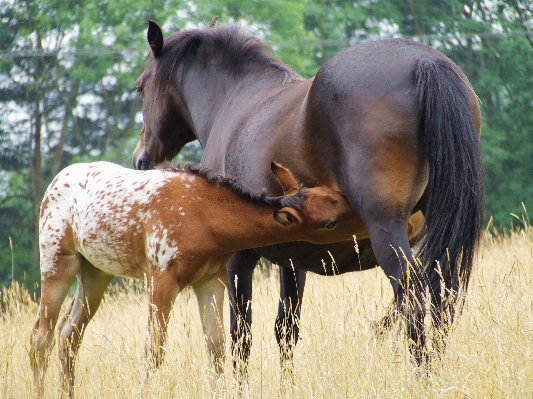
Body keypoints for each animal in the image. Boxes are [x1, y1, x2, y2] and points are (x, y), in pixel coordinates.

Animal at [132, 21, 482, 372]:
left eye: (140, 88)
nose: (140, 159)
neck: (233, 100)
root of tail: (423, 62)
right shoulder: (292, 257)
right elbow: (286, 330)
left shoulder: (238, 259)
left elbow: (240, 335)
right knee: (442, 299)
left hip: (388, 233)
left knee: (413, 299)